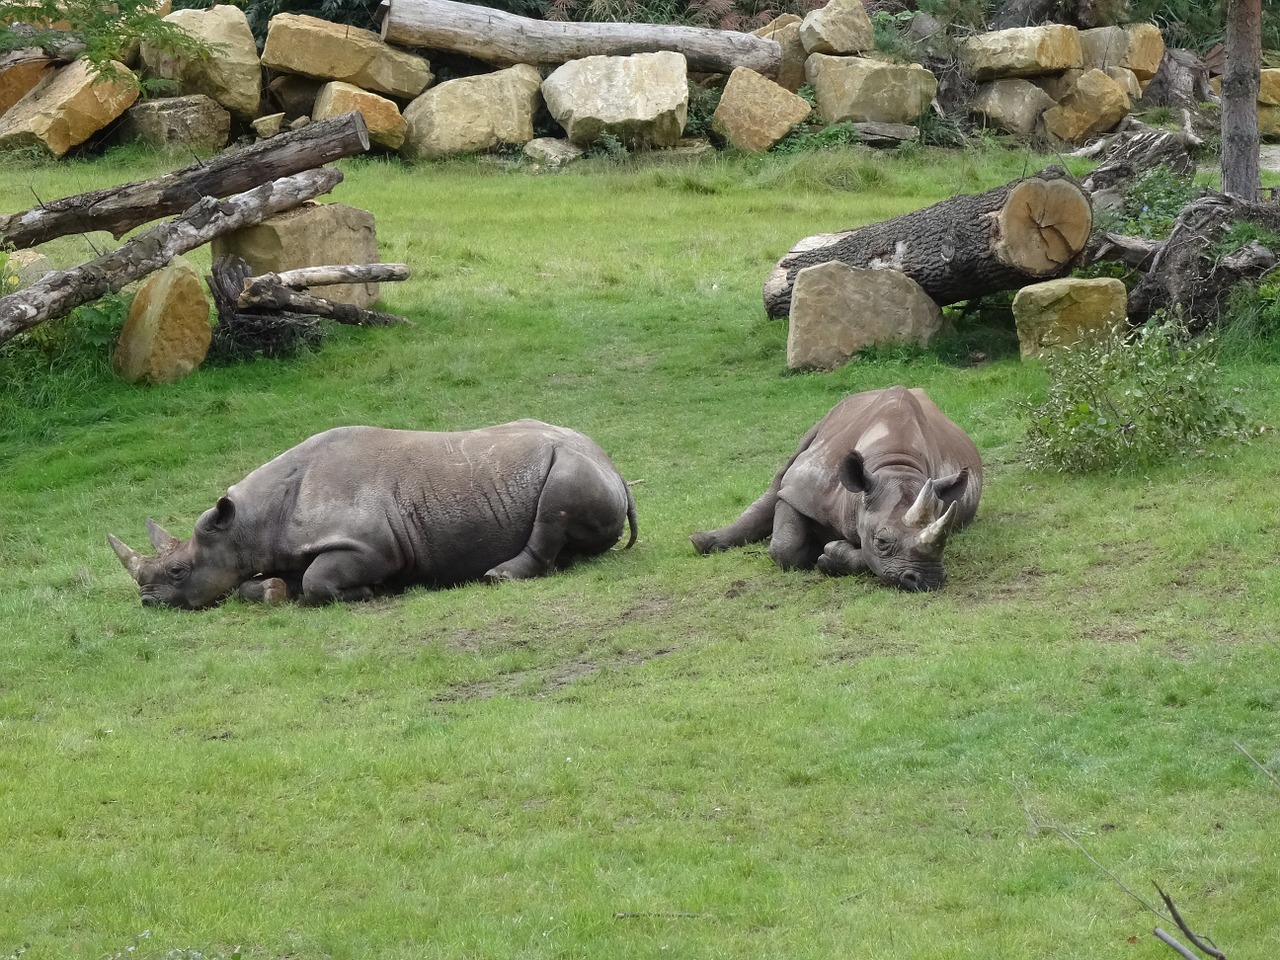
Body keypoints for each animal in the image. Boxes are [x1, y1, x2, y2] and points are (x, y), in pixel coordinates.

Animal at [107, 419, 637, 609]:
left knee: (554, 507)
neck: (249, 521)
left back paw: (497, 577)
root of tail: (614, 465)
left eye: (179, 571)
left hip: (573, 465)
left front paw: (371, 591)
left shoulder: (371, 545)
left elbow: (320, 581)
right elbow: (256, 582)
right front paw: (275, 591)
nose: (148, 602)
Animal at [691, 386, 977, 591]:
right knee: (780, 479)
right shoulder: (802, 489)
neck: (892, 467)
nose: (929, 580)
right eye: (881, 541)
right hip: (830, 416)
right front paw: (811, 550)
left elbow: (865, 558)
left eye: (946, 540)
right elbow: (785, 546)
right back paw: (701, 542)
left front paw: (828, 555)